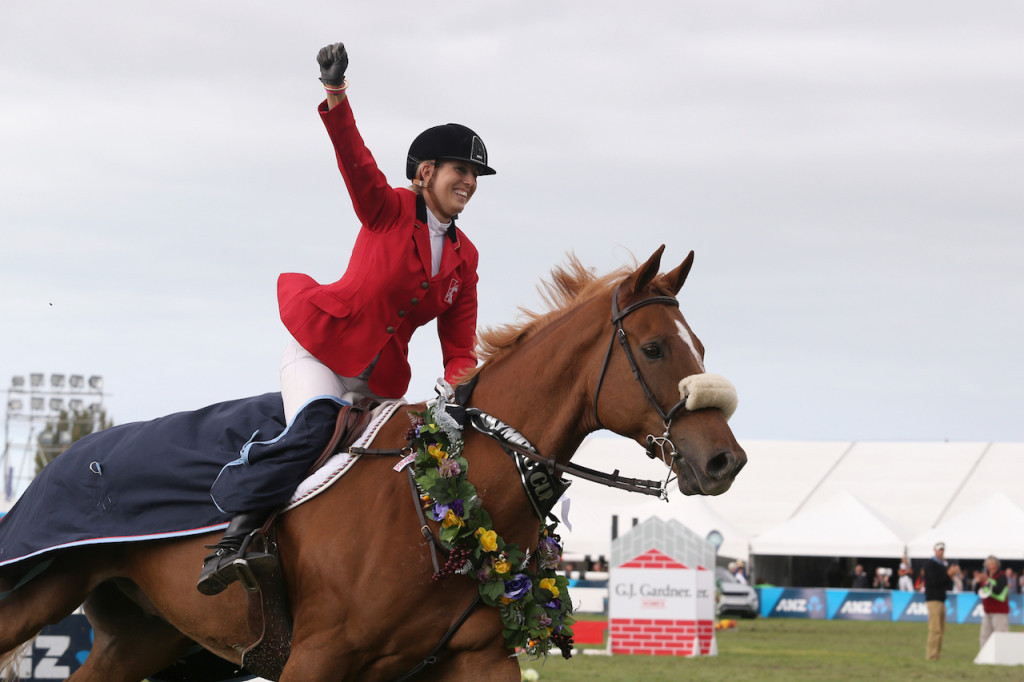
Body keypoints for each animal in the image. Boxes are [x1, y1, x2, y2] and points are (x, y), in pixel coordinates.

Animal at [0, 246, 745, 675]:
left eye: (702, 347)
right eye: (654, 349)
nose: (725, 462)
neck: (450, 488)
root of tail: (74, 453)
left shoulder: (478, 659)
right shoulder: (317, 656)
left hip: (142, 636)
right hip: (39, 592)